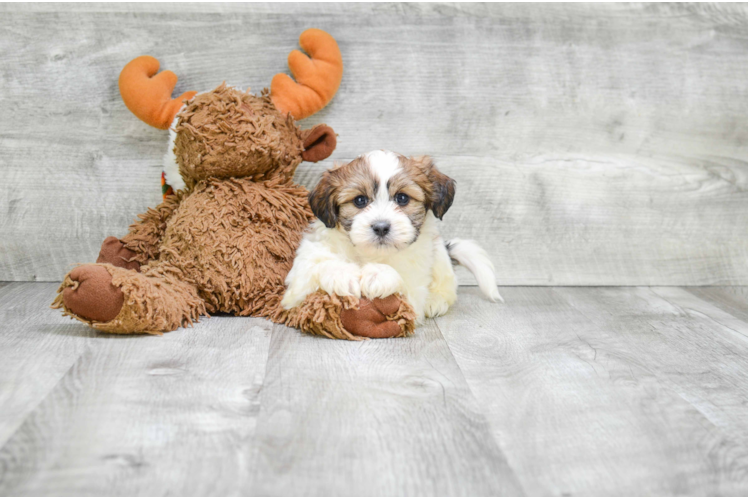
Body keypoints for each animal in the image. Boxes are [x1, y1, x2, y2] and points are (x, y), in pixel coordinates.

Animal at [282, 149, 502, 324]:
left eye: (402, 198)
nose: (381, 227)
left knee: (448, 287)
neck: (371, 254)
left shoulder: (414, 288)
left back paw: (436, 301)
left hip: (439, 255)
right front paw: (342, 274)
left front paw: (378, 274)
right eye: (360, 200)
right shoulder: (302, 272)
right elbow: (313, 271)